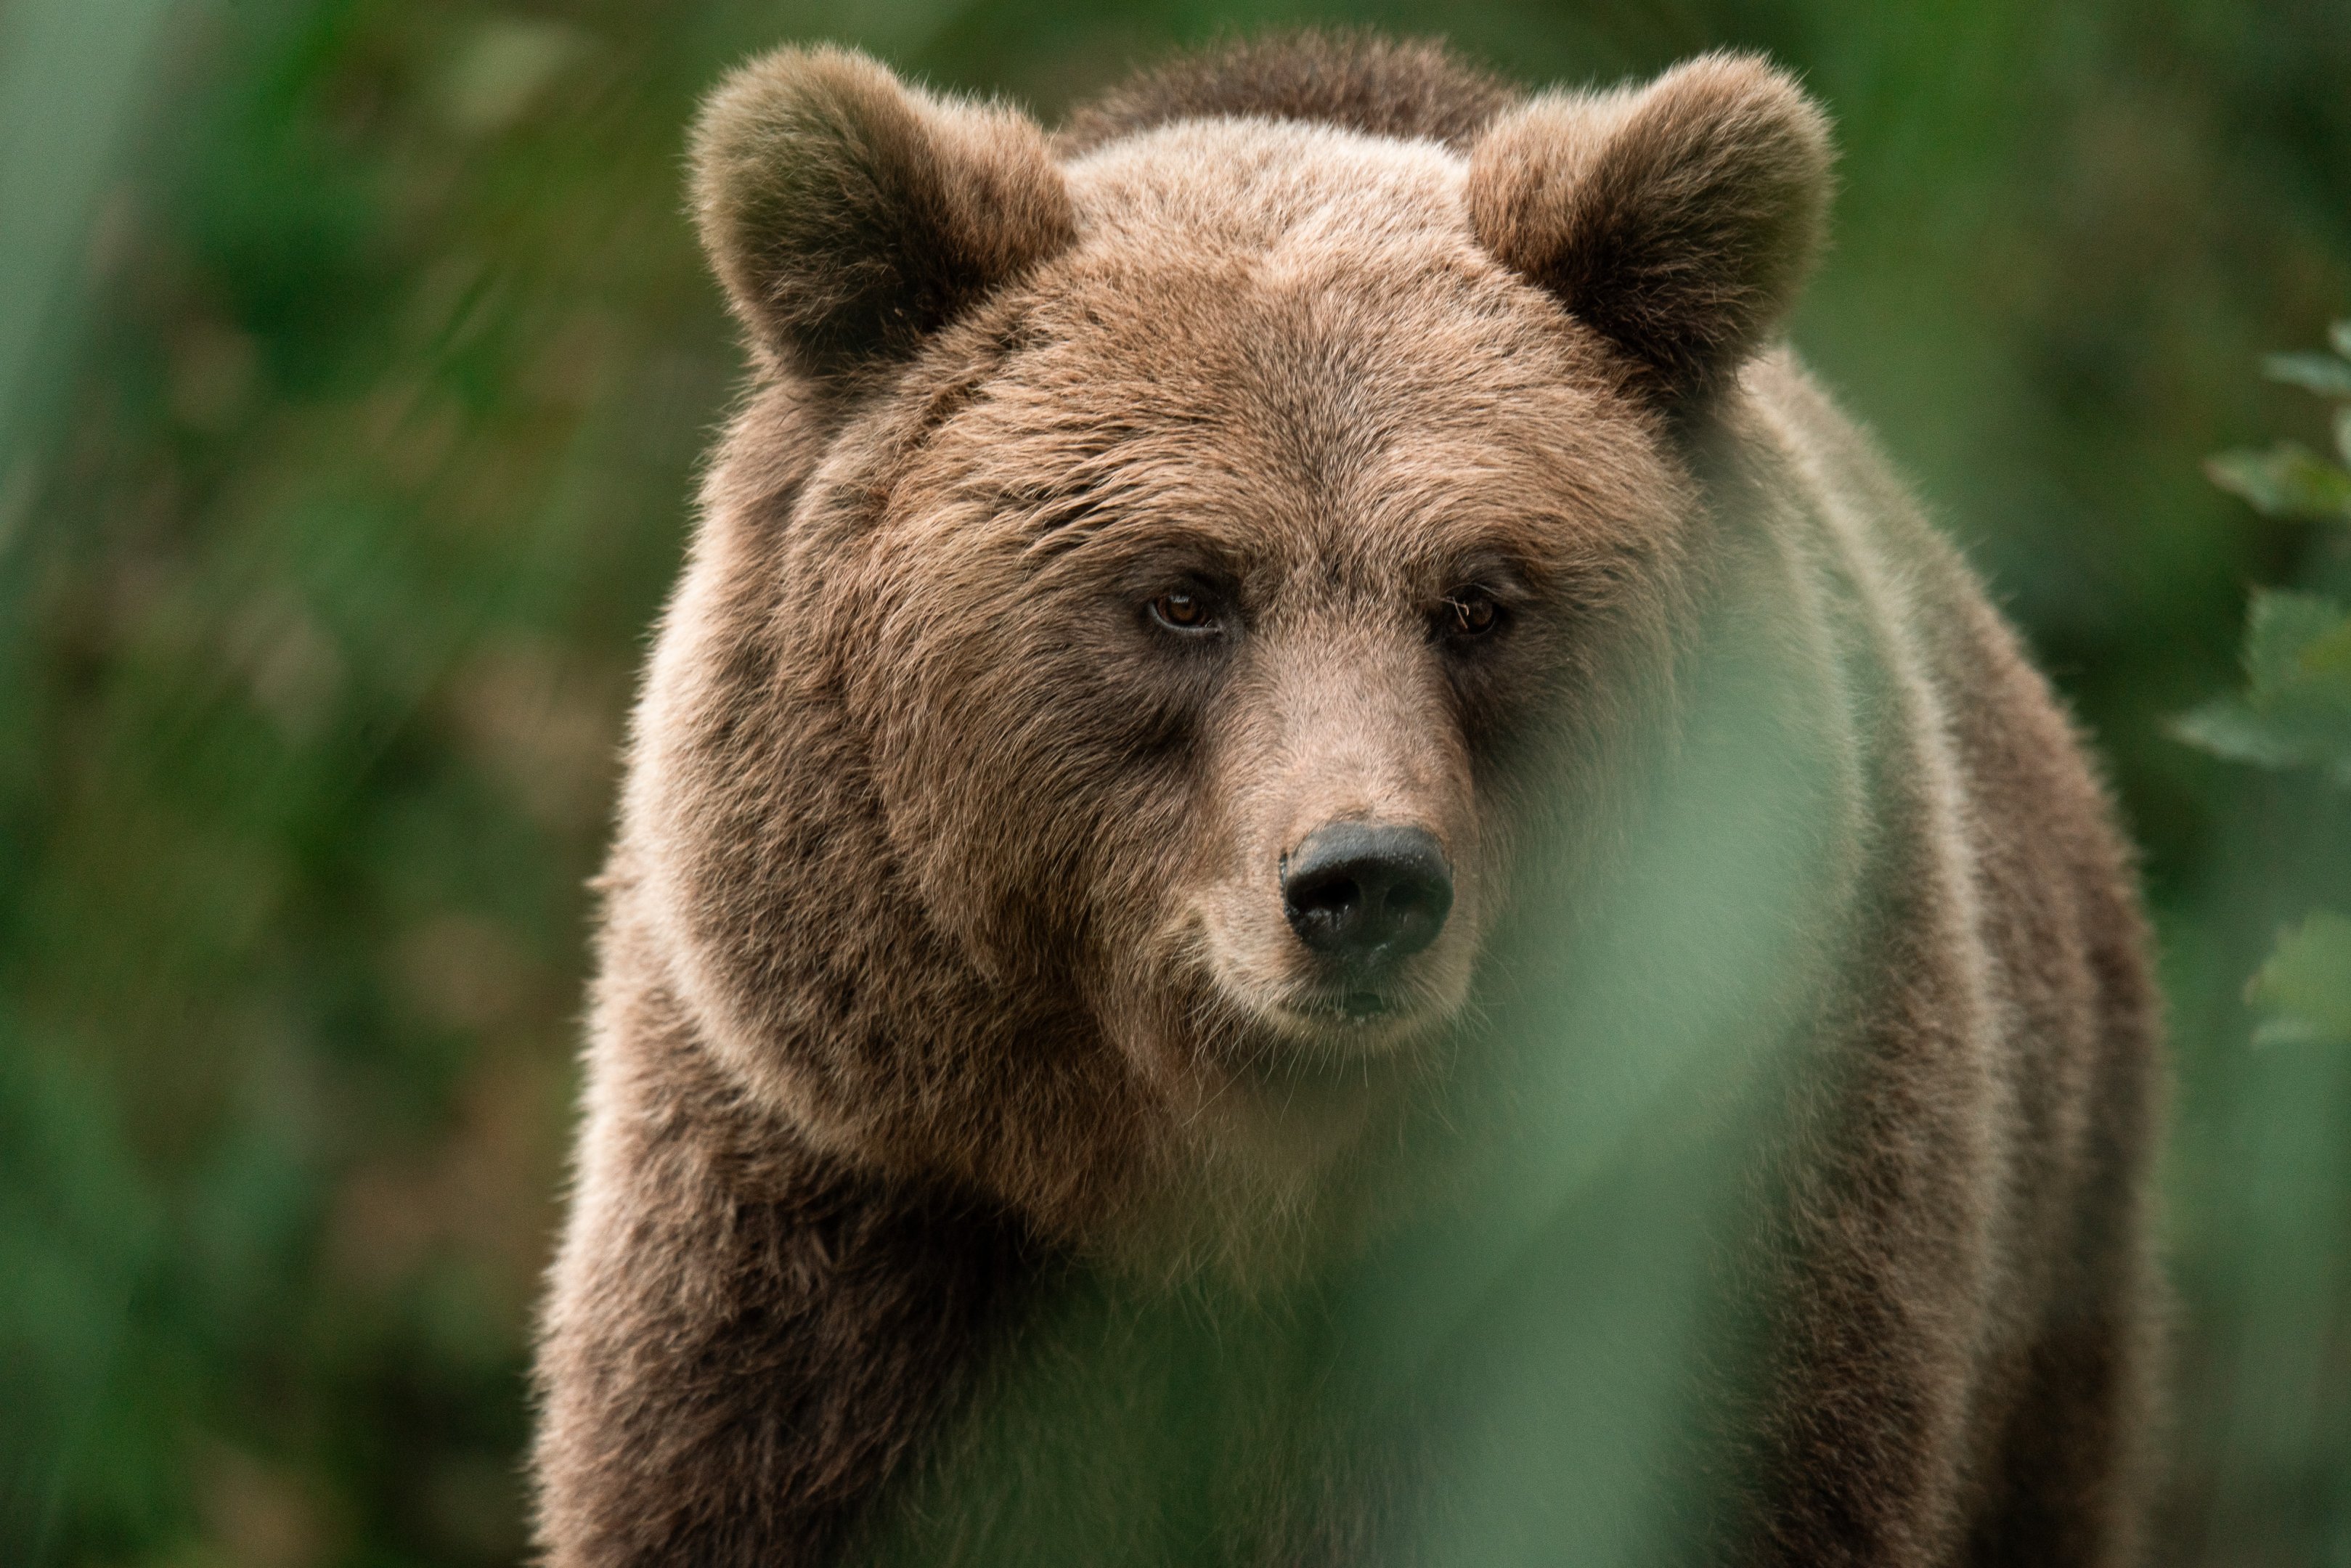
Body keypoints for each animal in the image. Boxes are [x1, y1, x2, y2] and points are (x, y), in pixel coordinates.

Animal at [529, 32, 2164, 1568]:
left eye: (1480, 602)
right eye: (1182, 595)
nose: (1364, 881)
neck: (1253, 1192)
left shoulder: (1697, 1219)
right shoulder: (856, 1222)